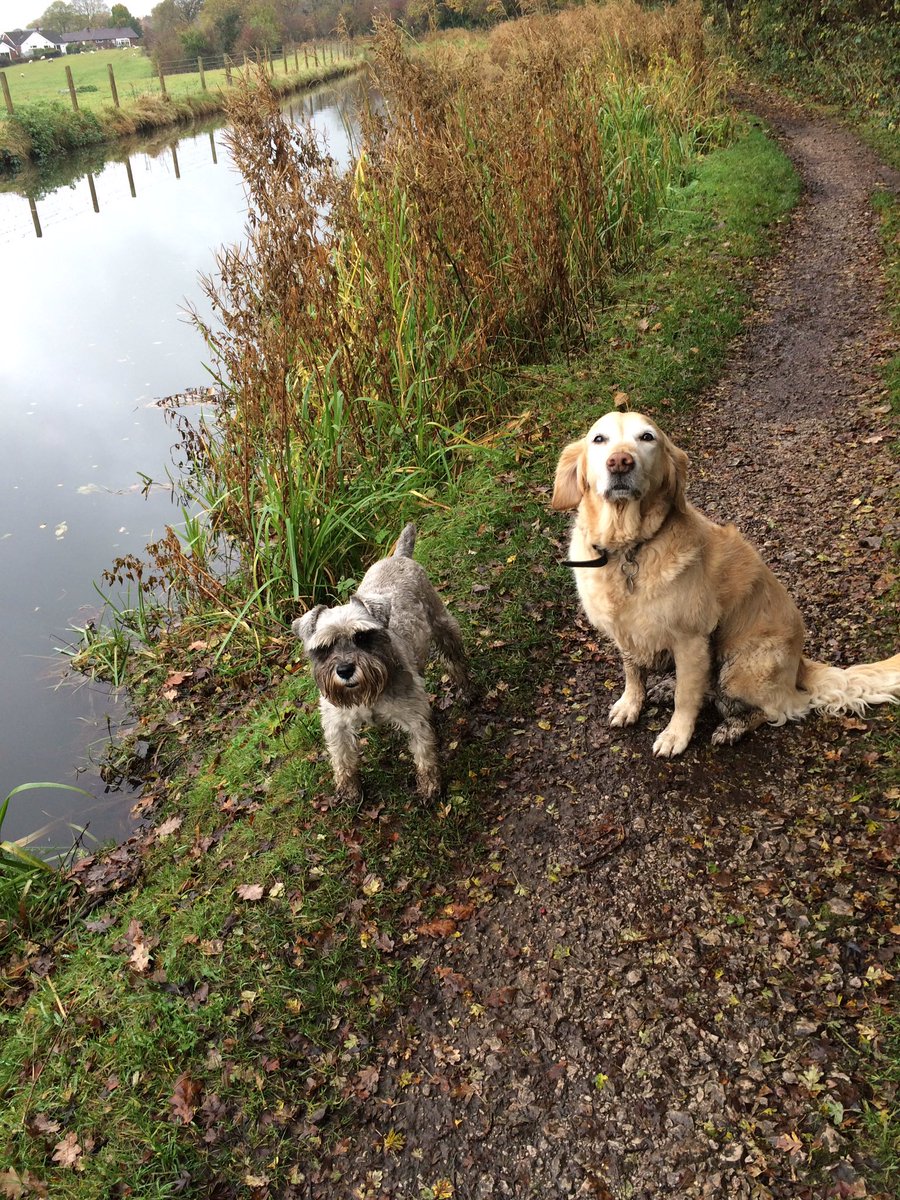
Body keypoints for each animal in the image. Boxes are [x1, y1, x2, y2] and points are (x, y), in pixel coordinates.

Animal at [294, 523, 472, 796]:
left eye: (361, 636)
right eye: (325, 647)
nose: (344, 669)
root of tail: (398, 556)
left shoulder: (415, 717)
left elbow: (424, 753)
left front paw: (430, 786)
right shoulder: (336, 723)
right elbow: (342, 758)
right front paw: (349, 789)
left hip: (443, 625)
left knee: (454, 660)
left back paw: (466, 690)